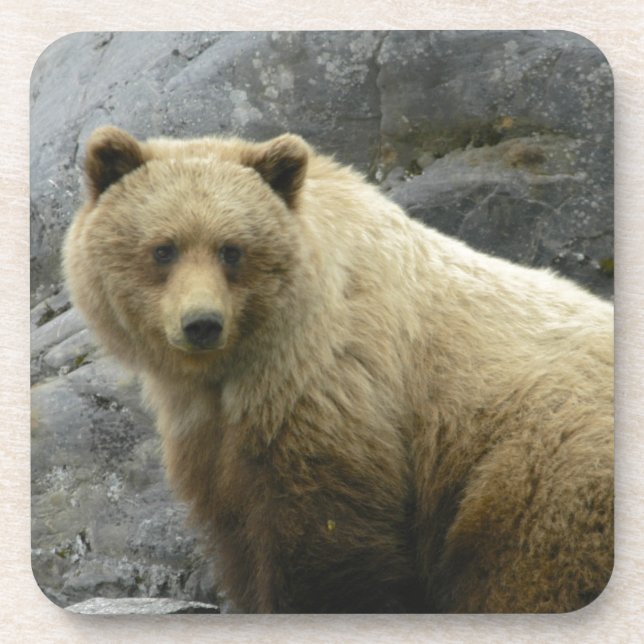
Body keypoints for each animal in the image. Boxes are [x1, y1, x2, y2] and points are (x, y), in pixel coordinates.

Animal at [63, 125, 614, 613]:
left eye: (231, 249)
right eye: (164, 248)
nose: (202, 323)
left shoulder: (332, 388)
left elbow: (325, 542)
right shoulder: (211, 433)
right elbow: (237, 528)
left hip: (538, 471)